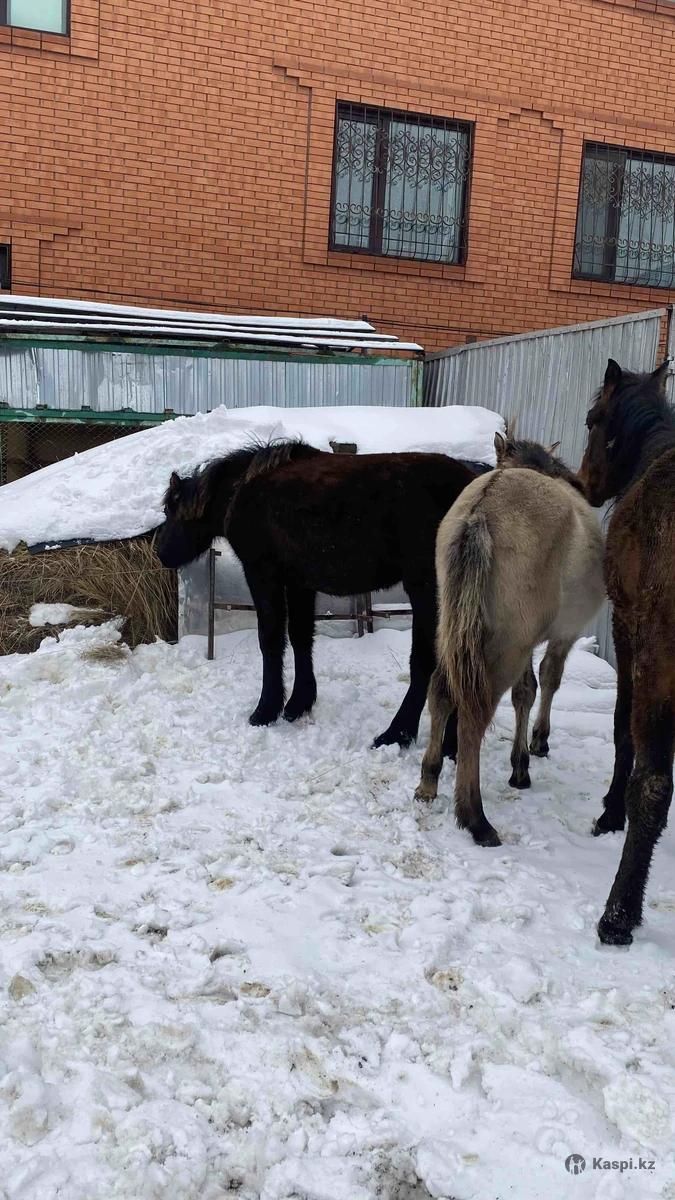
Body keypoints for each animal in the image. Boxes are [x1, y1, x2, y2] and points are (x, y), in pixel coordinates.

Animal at [154, 439, 491, 751]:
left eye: (170, 510)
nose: (160, 553)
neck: (241, 490)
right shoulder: (299, 581)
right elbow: (301, 636)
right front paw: (298, 703)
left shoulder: (262, 573)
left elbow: (271, 638)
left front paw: (266, 710)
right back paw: (451, 745)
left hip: (426, 590)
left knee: (427, 660)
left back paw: (398, 734)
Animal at [414, 434, 605, 847]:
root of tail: (481, 513)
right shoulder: (560, 636)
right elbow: (547, 681)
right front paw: (535, 746)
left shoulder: (526, 642)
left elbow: (525, 693)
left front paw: (522, 765)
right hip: (503, 649)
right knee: (473, 716)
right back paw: (475, 818)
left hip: (453, 630)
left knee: (441, 692)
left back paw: (428, 782)